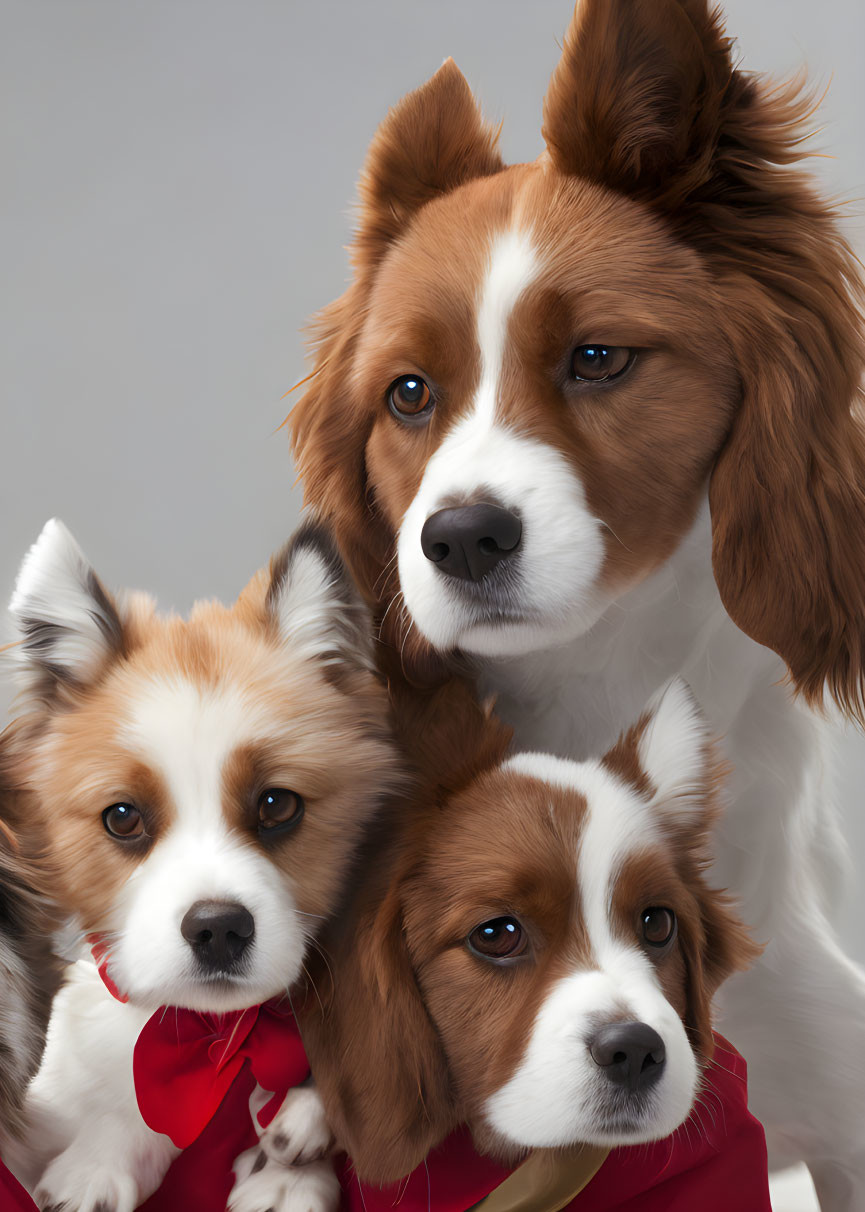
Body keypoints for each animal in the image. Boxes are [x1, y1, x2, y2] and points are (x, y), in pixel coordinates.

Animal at [3, 518, 397, 1212]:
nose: (217, 930)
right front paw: (99, 1161)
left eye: (277, 805)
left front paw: (289, 1162)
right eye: (123, 817)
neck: (217, 1040)